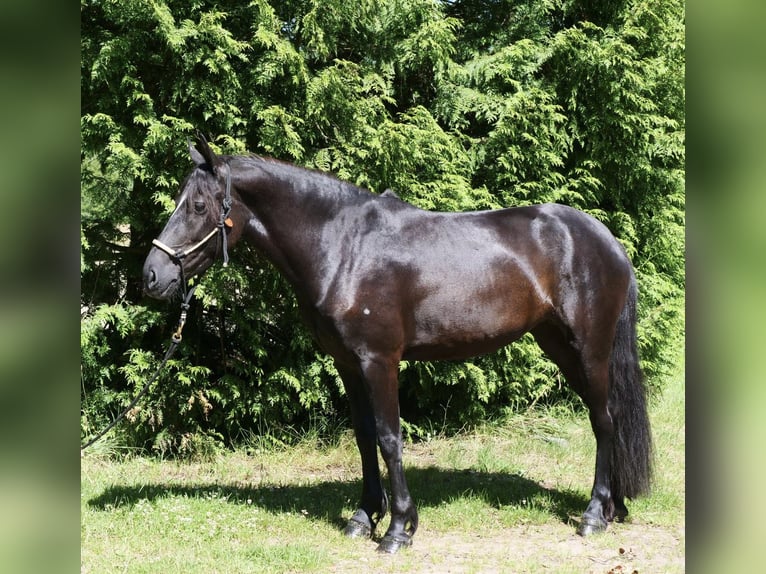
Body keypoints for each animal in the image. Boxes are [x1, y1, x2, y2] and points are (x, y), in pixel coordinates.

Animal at [144, 134, 656, 552]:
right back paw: (614, 507)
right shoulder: (348, 364)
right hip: (558, 345)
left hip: (588, 348)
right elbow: (364, 437)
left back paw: (594, 515)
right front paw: (363, 517)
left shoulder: (380, 361)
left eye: (198, 206)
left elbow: (391, 438)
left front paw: (398, 529)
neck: (345, 247)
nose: (152, 275)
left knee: (604, 421)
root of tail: (608, 241)